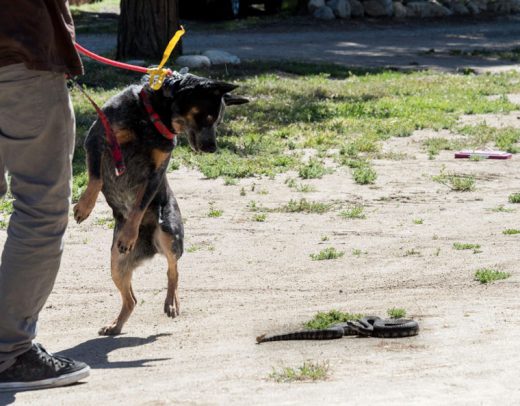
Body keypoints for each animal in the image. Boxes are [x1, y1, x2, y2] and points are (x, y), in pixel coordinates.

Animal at [73, 73, 250, 336]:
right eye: (209, 117)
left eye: (218, 121)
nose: (213, 148)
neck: (151, 117)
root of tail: (149, 248)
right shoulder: (98, 138)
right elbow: (96, 177)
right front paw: (85, 206)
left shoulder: (156, 172)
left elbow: (139, 206)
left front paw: (129, 234)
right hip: (116, 263)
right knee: (132, 299)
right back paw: (116, 325)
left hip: (168, 232)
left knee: (173, 270)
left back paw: (171, 302)